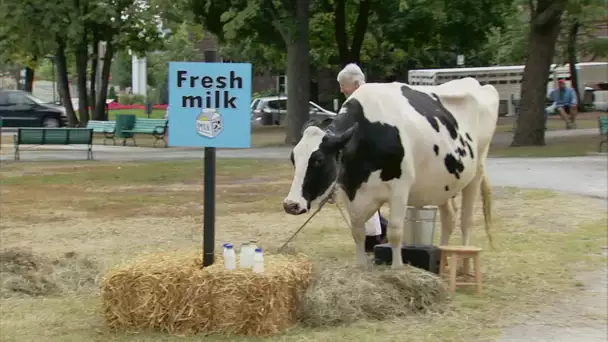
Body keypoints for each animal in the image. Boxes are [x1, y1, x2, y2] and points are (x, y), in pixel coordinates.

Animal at [282, 79, 496, 268]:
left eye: (318, 160)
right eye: (293, 158)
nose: (291, 204)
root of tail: (479, 84)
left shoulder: (399, 188)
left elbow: (394, 231)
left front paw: (397, 268)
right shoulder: (348, 190)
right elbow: (357, 231)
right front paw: (360, 266)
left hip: (476, 172)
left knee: (466, 221)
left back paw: (462, 262)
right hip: (444, 182)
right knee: (449, 218)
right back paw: (444, 259)